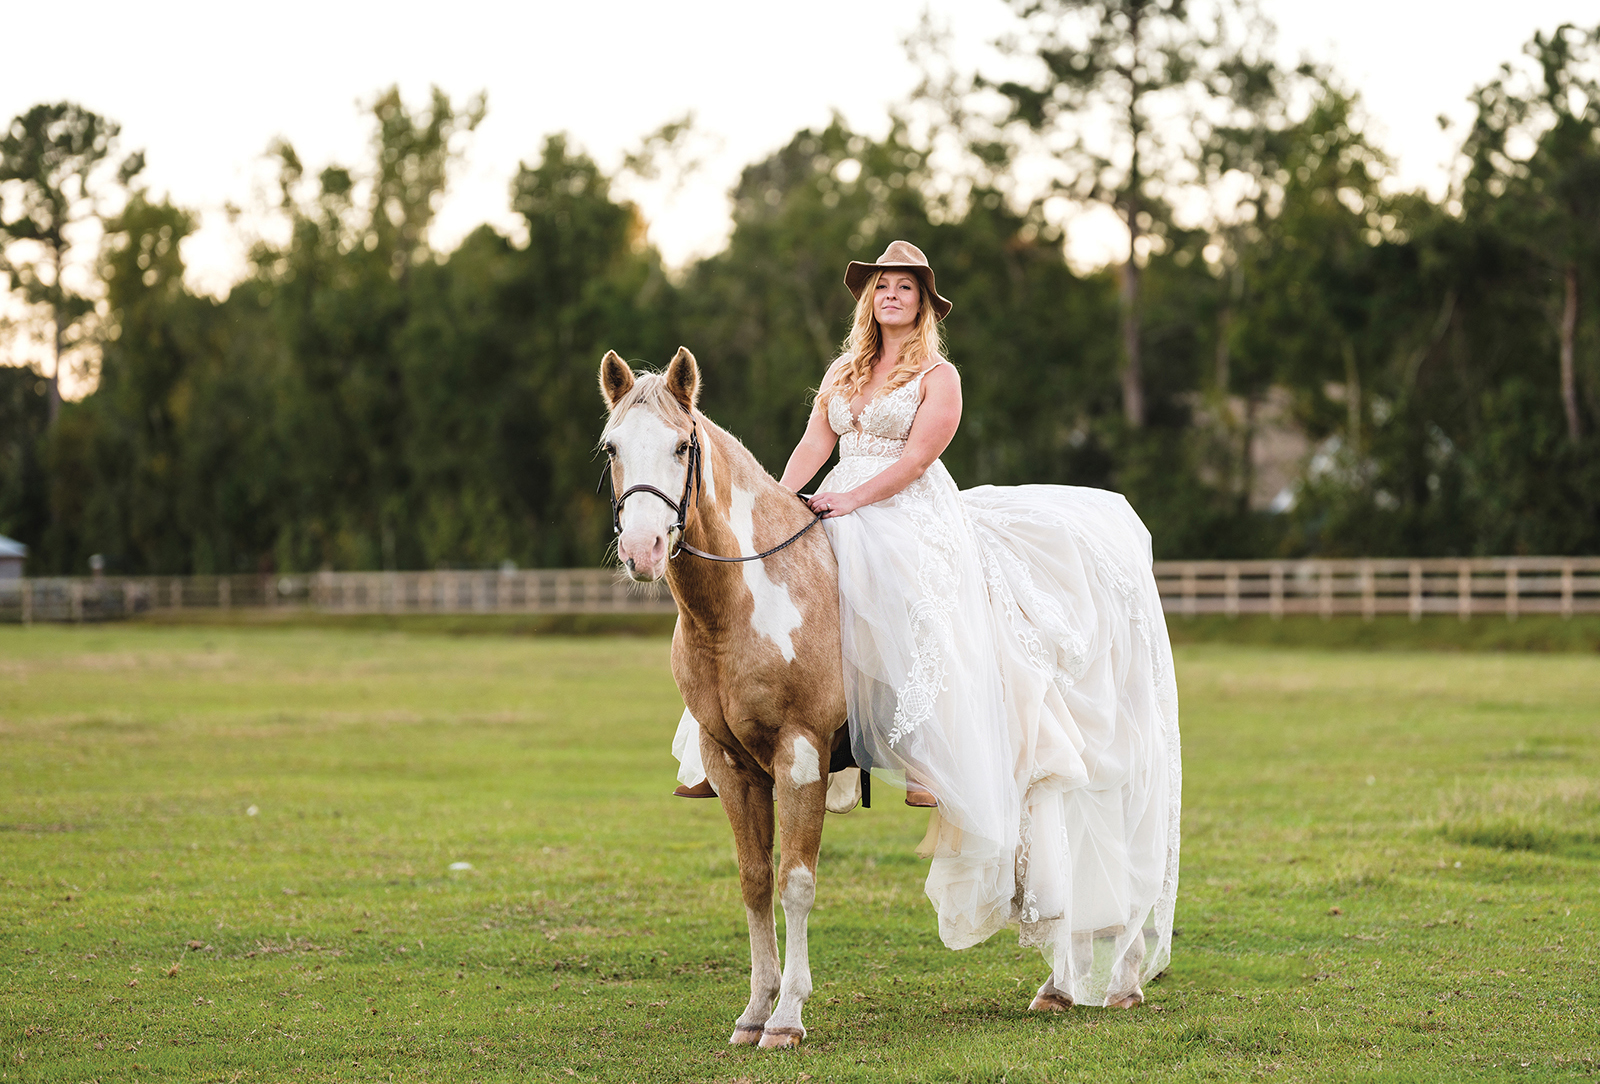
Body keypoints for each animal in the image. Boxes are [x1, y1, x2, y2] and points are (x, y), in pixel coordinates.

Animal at [601, 350, 851, 1055]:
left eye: (682, 446)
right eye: (611, 449)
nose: (643, 550)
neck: (744, 604)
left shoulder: (801, 756)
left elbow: (796, 881)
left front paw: (788, 1016)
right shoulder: (733, 766)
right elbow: (755, 879)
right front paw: (756, 1010)